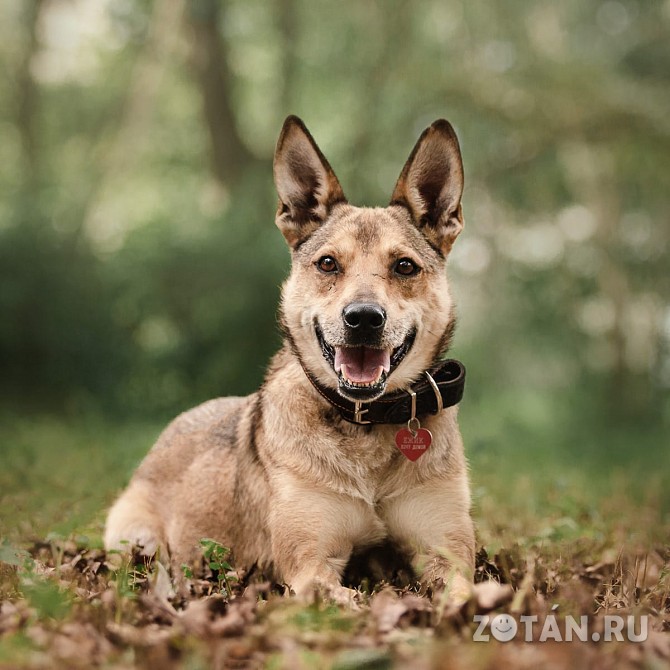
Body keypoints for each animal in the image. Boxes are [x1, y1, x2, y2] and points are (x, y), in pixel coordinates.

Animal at [102, 117, 476, 608]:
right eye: (328, 263)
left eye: (405, 266)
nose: (363, 318)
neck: (367, 424)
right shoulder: (310, 565)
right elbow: (351, 598)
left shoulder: (445, 551)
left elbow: (467, 591)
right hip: (135, 537)